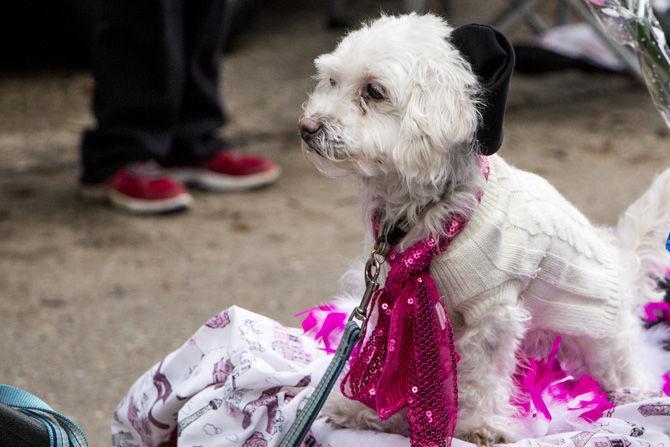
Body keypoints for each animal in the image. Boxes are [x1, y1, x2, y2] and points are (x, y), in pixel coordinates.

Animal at [302, 12, 670, 446]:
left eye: (374, 91)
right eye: (331, 80)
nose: (307, 127)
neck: (427, 214)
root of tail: (620, 260)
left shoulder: (492, 311)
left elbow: (481, 375)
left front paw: (478, 424)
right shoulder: (389, 294)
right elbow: (388, 356)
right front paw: (364, 411)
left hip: (603, 344)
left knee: (628, 370)